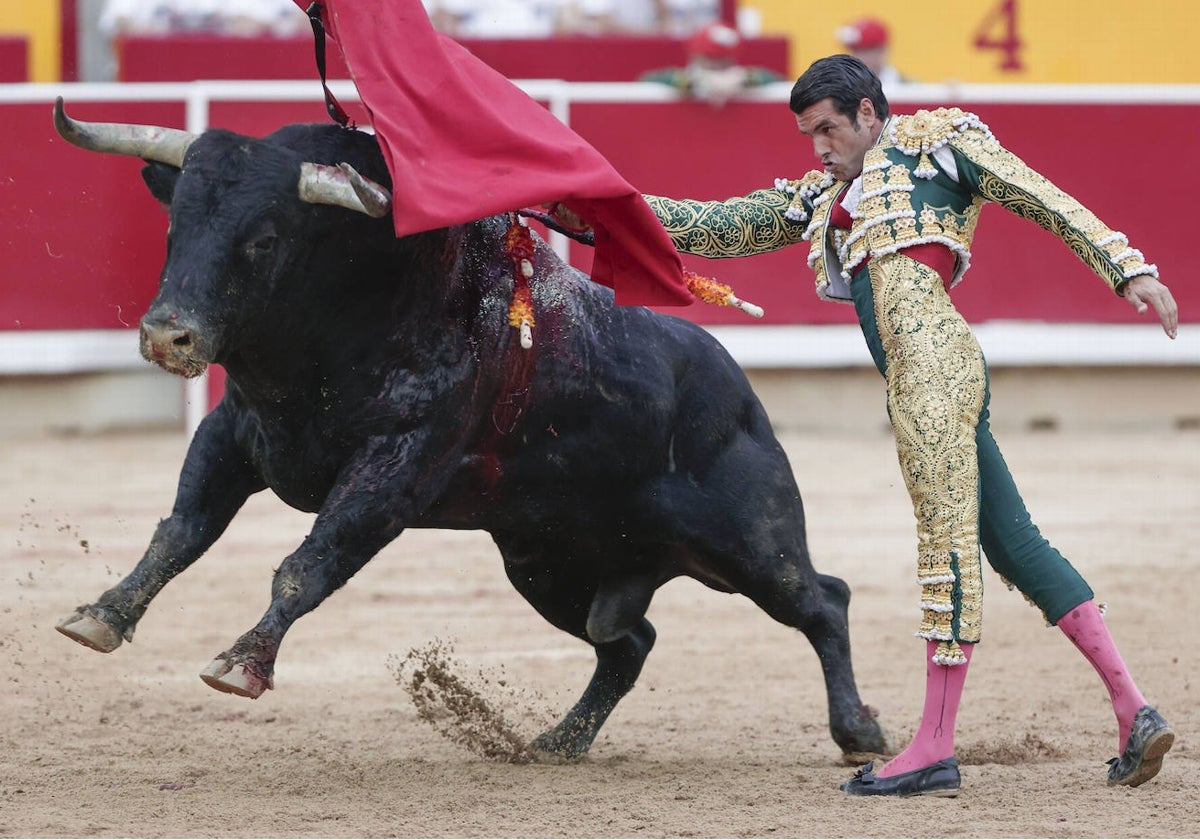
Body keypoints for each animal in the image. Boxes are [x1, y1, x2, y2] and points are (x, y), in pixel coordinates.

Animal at [51, 102, 888, 758]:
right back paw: (560, 741)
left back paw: (859, 736)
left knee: (824, 600)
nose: (169, 335)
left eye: (263, 238)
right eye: (177, 226)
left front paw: (242, 663)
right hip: (548, 566)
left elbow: (305, 563)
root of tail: (737, 389)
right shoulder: (233, 436)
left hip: (750, 541)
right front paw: (101, 615)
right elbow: (181, 532)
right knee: (629, 643)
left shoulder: (393, 470)